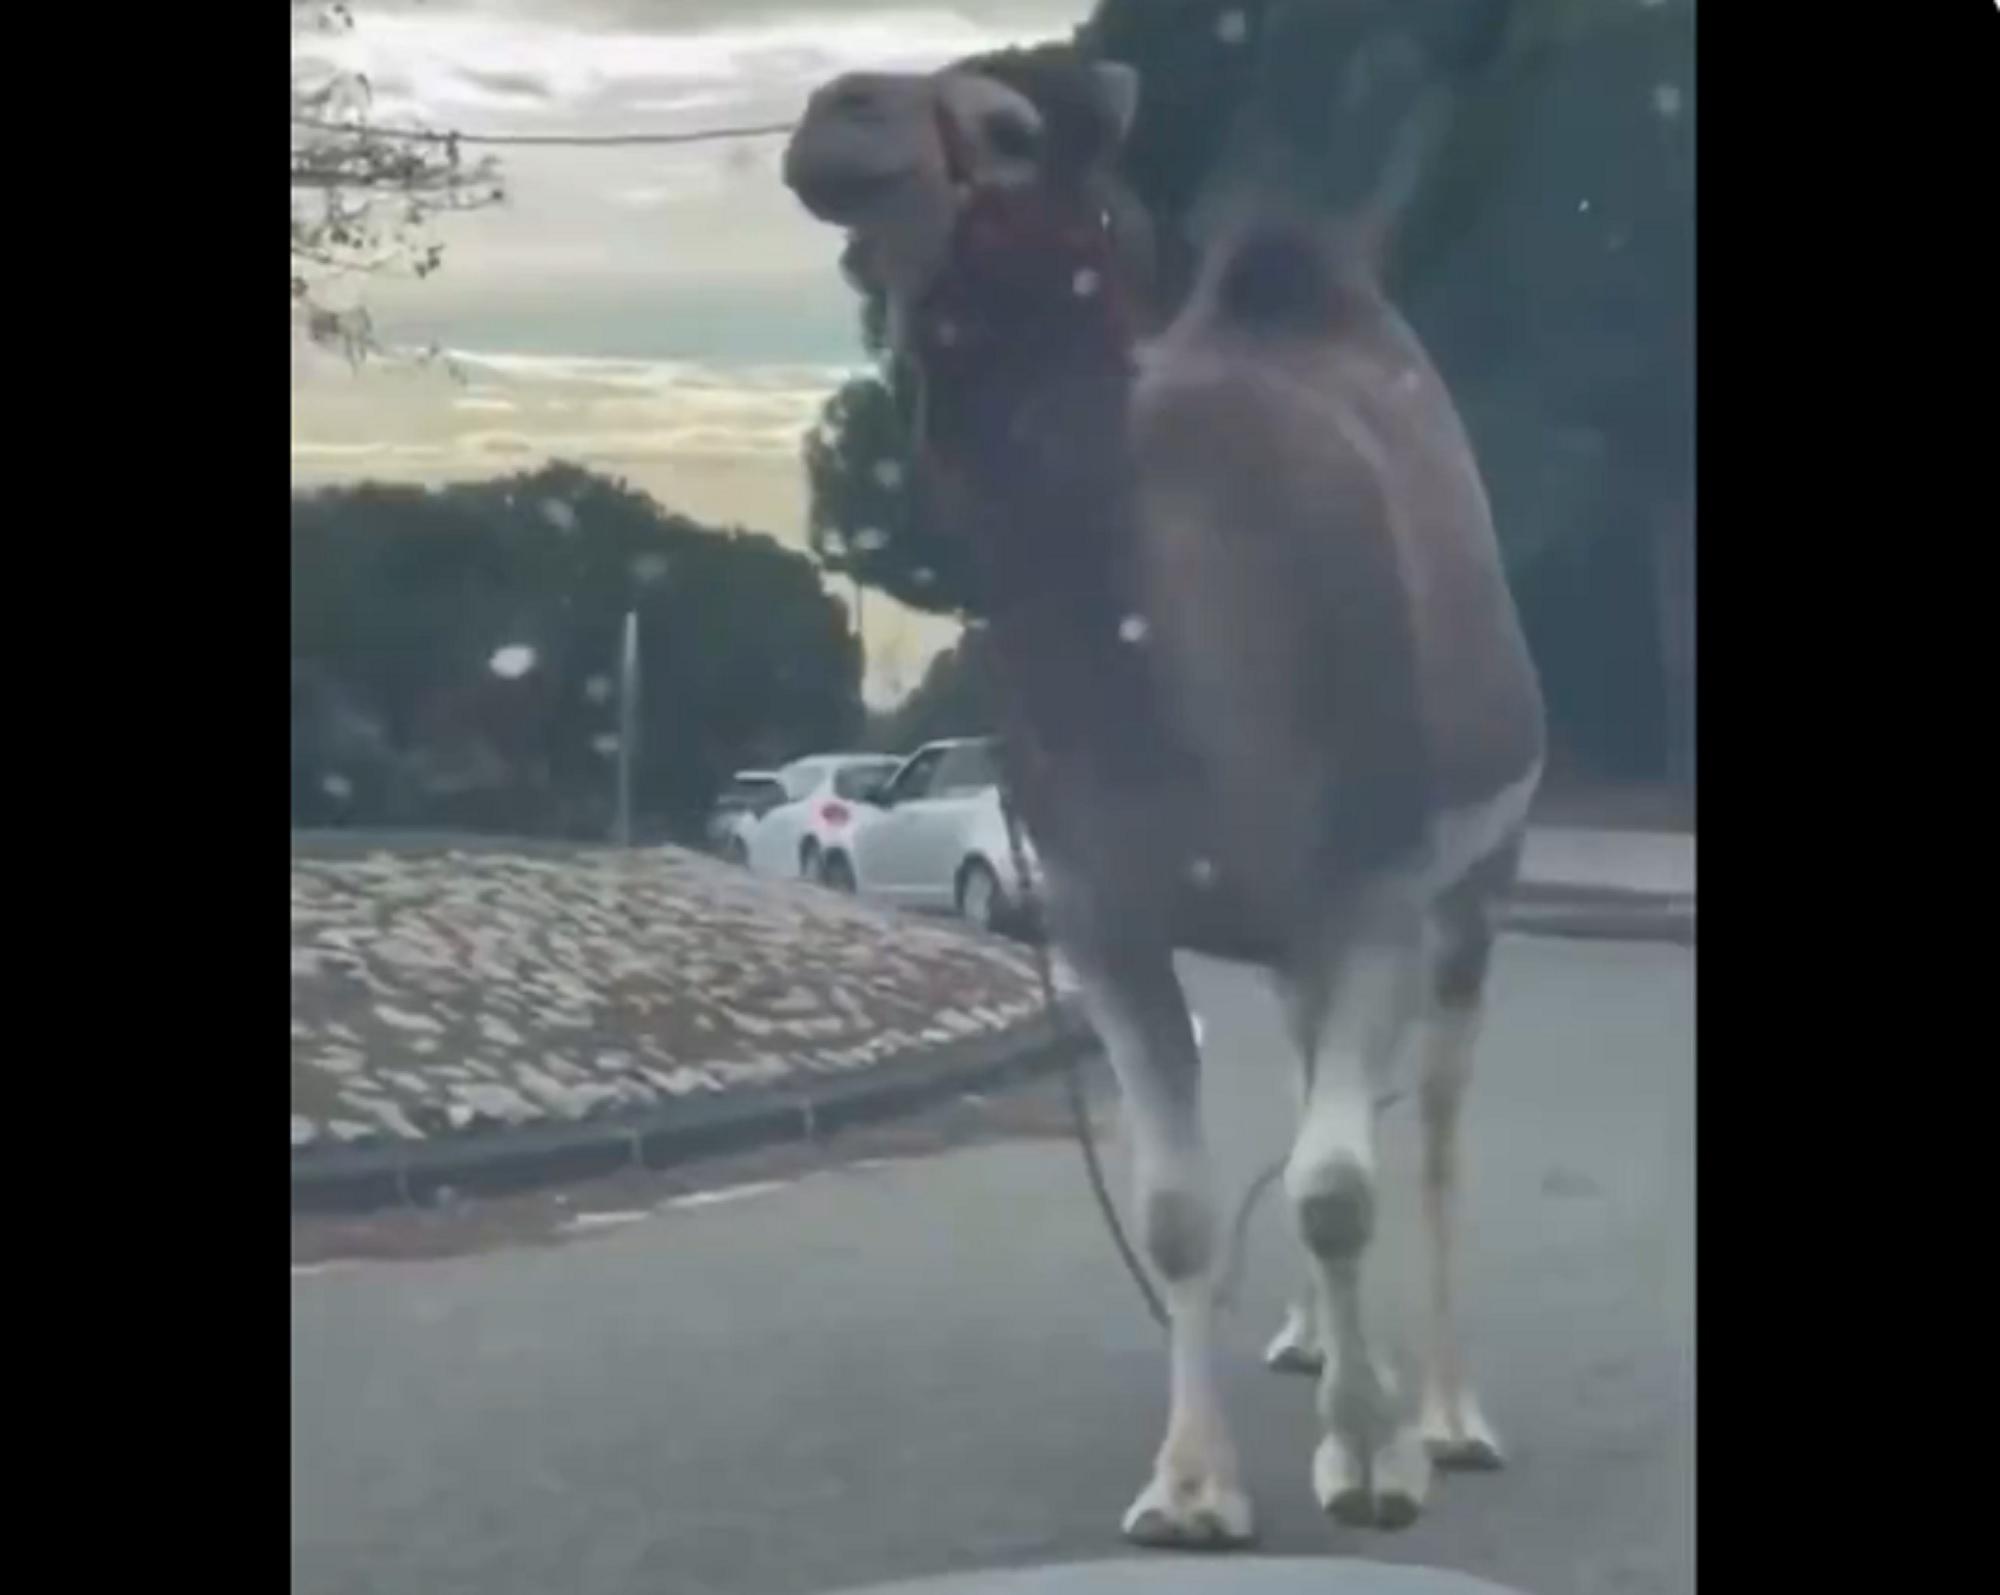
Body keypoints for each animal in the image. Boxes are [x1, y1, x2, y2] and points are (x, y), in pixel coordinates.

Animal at [780, 46, 1544, 1551]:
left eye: (1010, 127)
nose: (836, 115)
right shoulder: (1102, 910)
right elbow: (1184, 1207)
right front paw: (1192, 1485)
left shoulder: (1370, 883)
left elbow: (1337, 1186)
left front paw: (1374, 1459)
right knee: (1318, 1080)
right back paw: (1312, 1345)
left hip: (1473, 885)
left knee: (1428, 1122)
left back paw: (1443, 1409)